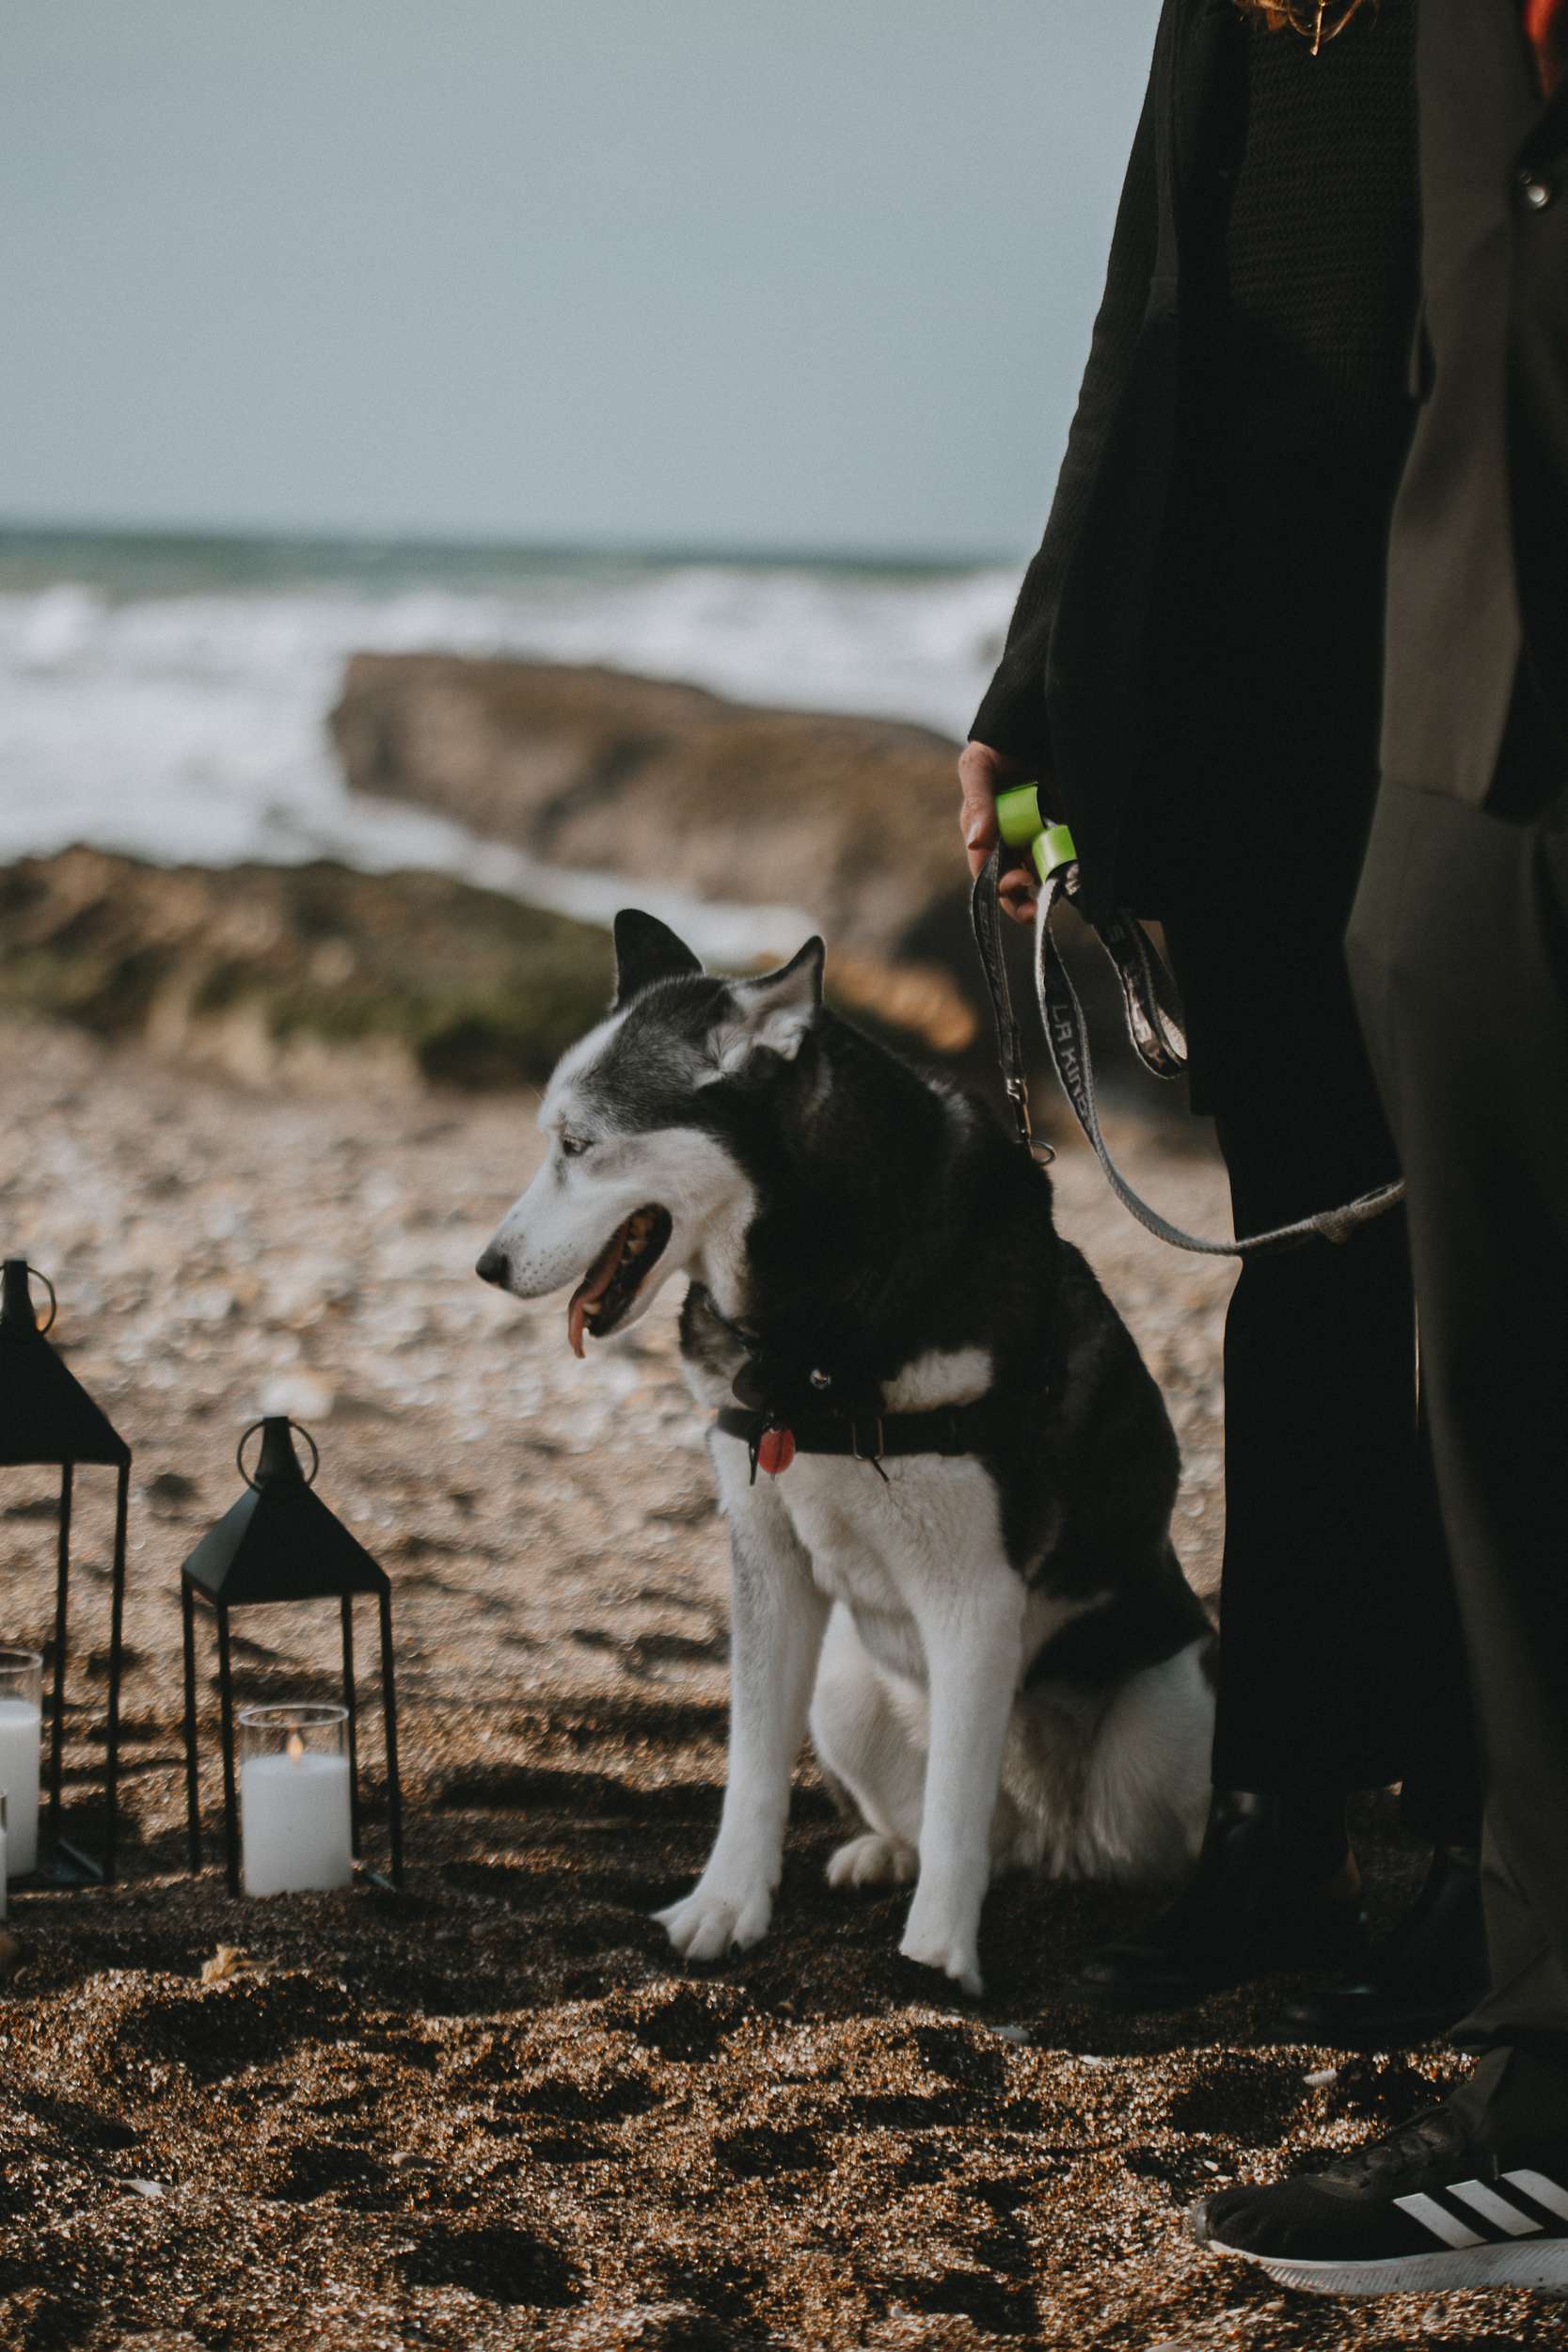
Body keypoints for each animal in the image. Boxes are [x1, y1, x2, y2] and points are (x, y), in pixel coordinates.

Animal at [477, 910, 1214, 1996]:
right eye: (547, 1141)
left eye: (578, 1145)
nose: (486, 1266)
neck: (814, 1331)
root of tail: (1057, 1843)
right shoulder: (768, 1561)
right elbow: (751, 1768)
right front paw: (726, 1907)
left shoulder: (974, 1597)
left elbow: (955, 1807)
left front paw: (934, 1963)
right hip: (846, 1689)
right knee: (969, 1828)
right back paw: (881, 1853)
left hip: (1179, 1702)